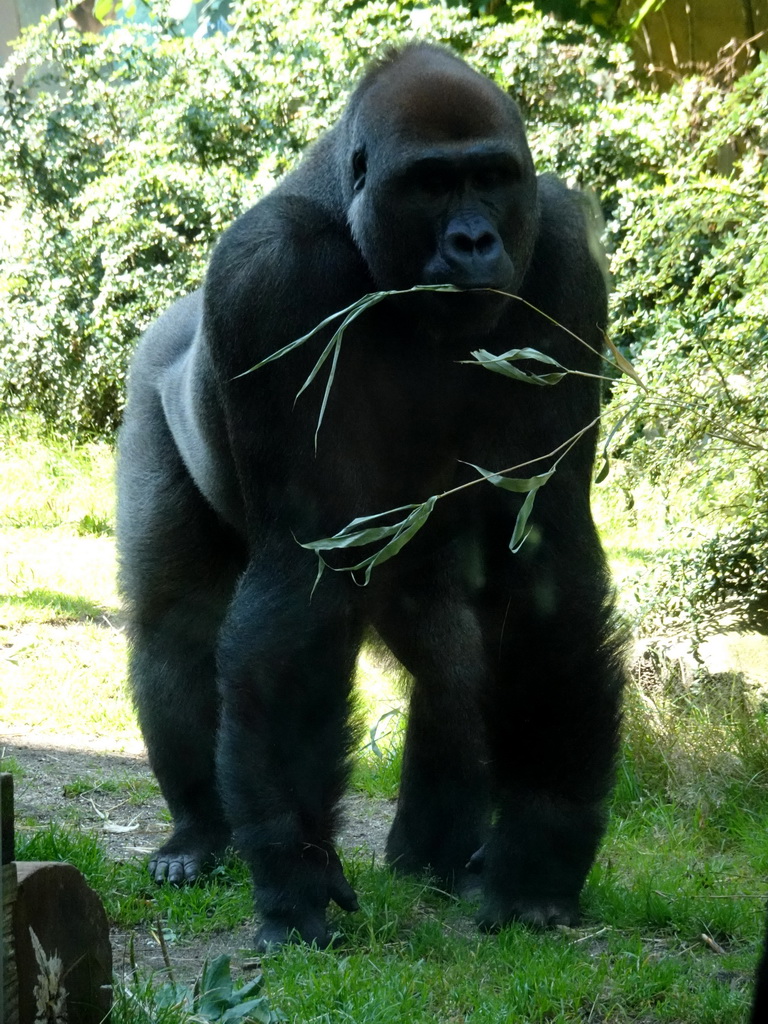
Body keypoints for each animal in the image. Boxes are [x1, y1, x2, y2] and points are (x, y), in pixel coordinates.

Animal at [118, 41, 626, 950]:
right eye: (430, 184)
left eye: (491, 176)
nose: (474, 240)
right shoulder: (270, 276)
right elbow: (305, 569)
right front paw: (298, 872)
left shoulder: (564, 258)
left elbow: (542, 557)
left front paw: (540, 851)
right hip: (152, 387)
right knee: (175, 618)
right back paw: (198, 832)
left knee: (452, 656)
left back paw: (436, 852)